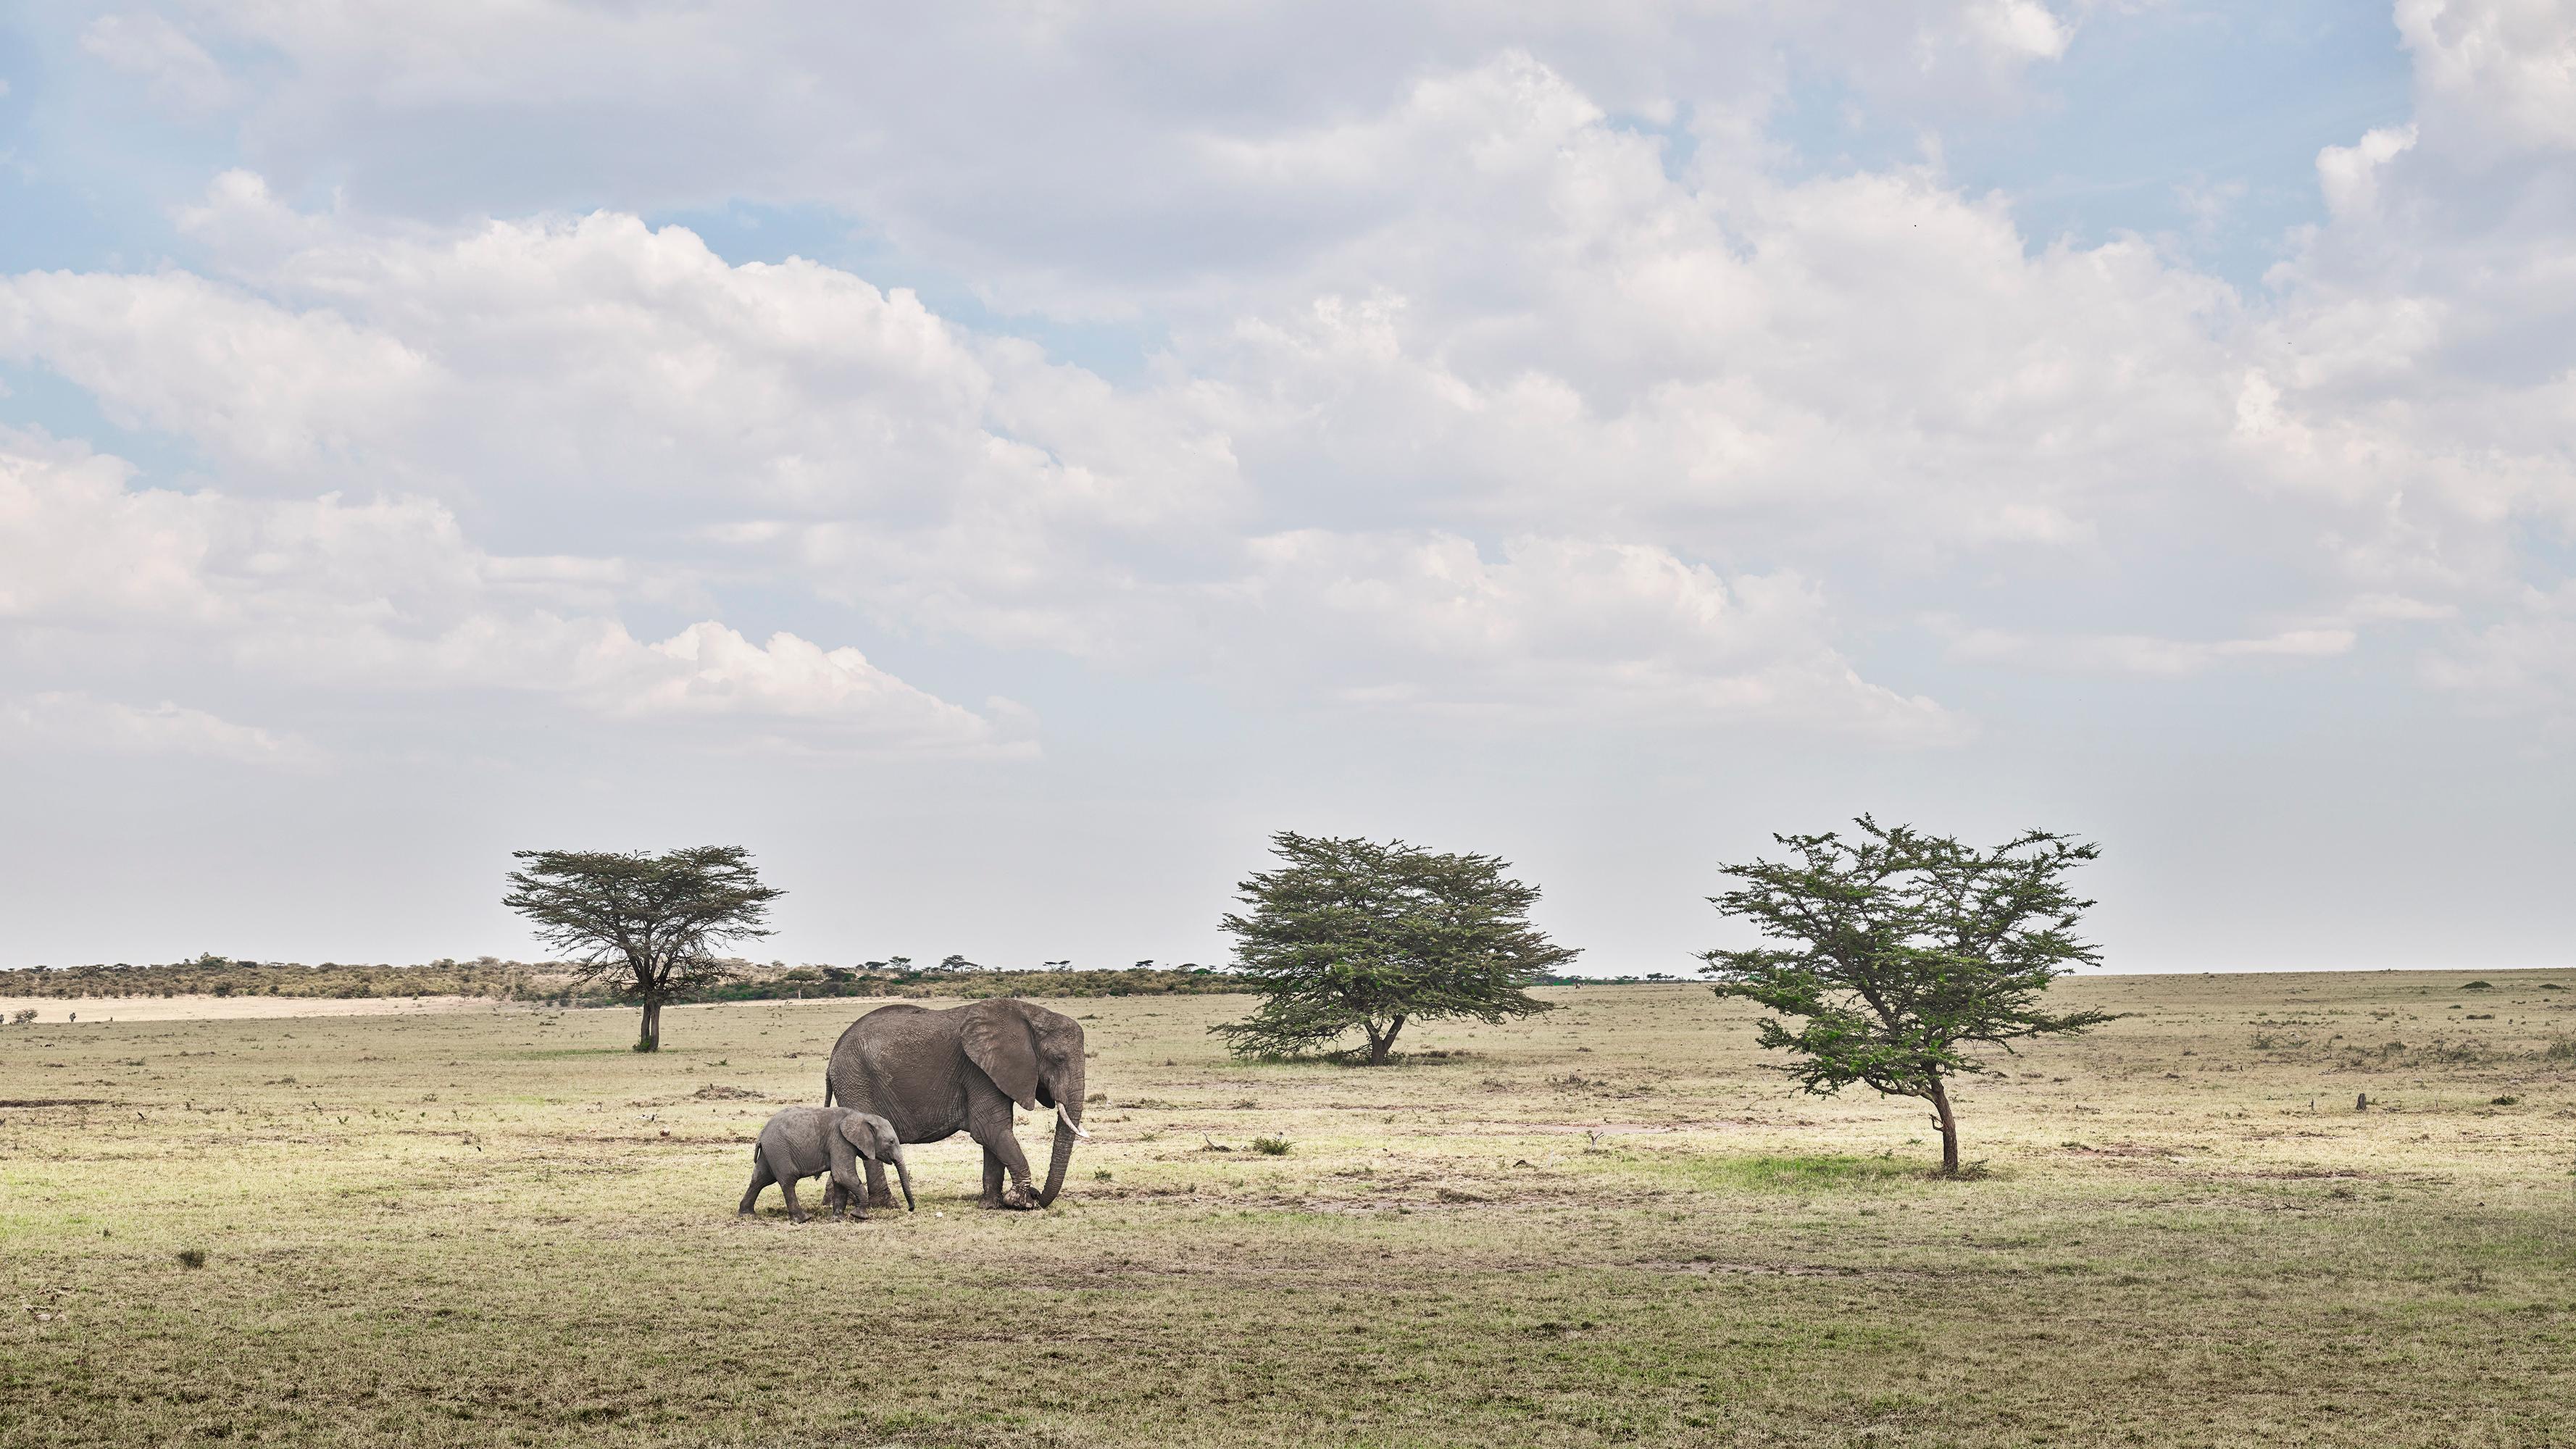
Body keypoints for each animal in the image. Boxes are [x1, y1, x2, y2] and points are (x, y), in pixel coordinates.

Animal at [736, 1111, 917, 1224]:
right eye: (891, 1142)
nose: (910, 1209)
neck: (861, 1116)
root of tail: (761, 1134)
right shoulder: (840, 1141)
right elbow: (843, 1175)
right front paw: (860, 1216)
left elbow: (840, 1180)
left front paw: (839, 1219)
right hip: (780, 1150)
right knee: (787, 1180)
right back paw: (803, 1219)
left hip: (771, 1152)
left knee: (760, 1179)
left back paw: (747, 1215)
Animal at [824, 998, 1087, 1214]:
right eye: (1058, 1059)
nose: (1038, 1195)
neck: (1032, 1015)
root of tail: (834, 1052)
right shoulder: (978, 1071)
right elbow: (991, 1130)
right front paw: (1020, 1202)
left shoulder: (990, 1072)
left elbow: (994, 1134)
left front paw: (991, 1204)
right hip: (856, 1080)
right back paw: (888, 1205)